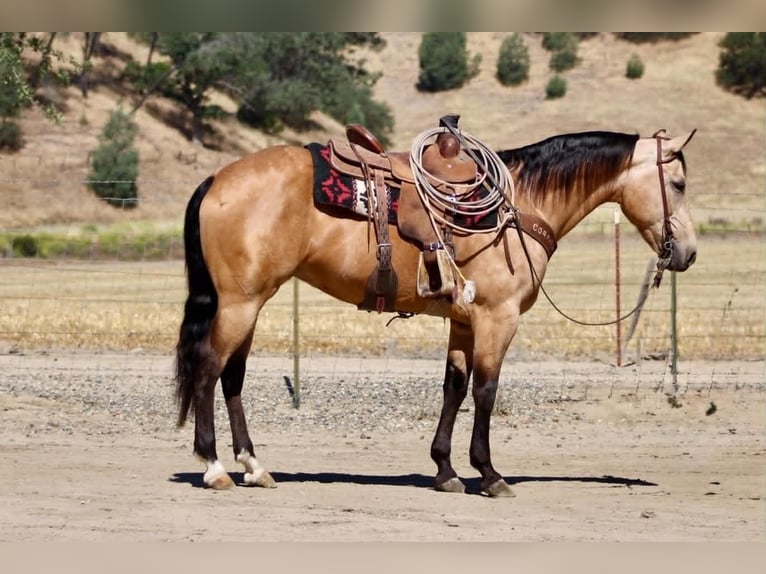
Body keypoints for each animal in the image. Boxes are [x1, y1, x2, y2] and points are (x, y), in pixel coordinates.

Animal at [174, 125, 698, 497]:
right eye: (678, 183)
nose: (688, 253)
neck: (516, 206)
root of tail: (217, 179)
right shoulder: (497, 318)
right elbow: (486, 391)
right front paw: (489, 473)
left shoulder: (464, 322)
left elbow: (454, 388)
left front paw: (445, 470)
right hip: (240, 303)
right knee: (208, 367)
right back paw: (215, 467)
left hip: (251, 303)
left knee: (232, 377)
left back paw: (253, 466)